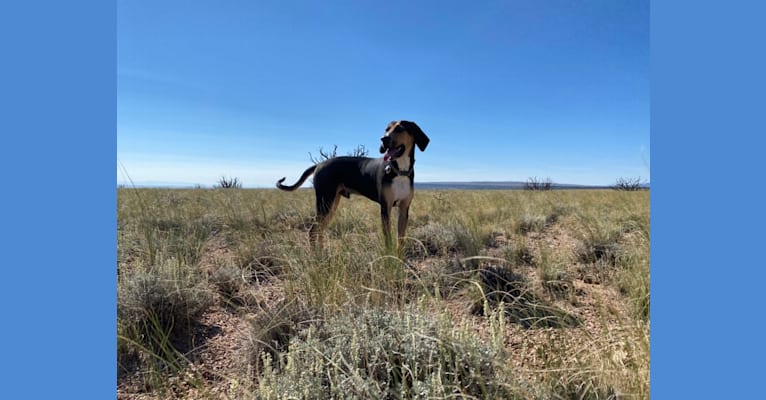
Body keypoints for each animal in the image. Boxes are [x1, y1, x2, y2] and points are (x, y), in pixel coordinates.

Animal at [278, 120, 432, 245]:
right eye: (386, 129)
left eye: (400, 128)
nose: (384, 138)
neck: (400, 170)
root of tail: (319, 164)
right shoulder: (385, 208)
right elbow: (388, 240)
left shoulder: (404, 209)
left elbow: (401, 240)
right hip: (325, 202)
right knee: (313, 230)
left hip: (332, 204)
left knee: (320, 230)